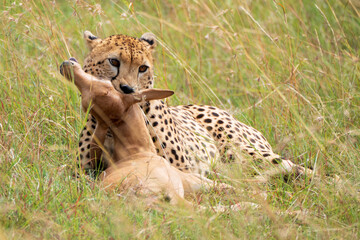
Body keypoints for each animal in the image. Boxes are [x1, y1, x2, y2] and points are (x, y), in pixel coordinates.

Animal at [76, 30, 316, 180]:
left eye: (142, 68)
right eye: (114, 61)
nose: (128, 89)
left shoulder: (179, 168)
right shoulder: (83, 173)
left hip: (243, 150)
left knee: (301, 169)